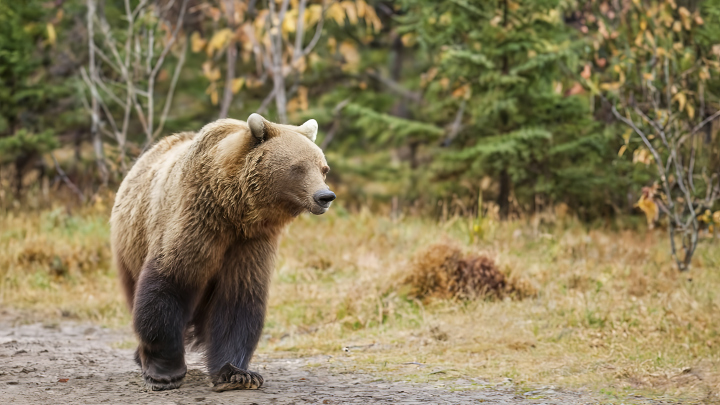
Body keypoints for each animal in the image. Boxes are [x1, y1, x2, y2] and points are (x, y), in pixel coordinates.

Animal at [110, 114, 335, 391]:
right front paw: (164, 373)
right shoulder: (195, 221)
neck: (233, 211)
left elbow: (237, 300)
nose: (325, 196)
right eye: (298, 167)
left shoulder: (250, 243)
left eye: (323, 168)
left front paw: (238, 373)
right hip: (130, 244)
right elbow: (169, 283)